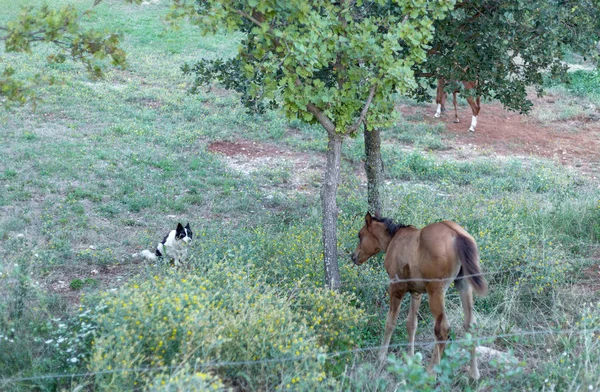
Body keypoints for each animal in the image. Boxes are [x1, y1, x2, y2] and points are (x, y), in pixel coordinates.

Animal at [352, 213, 488, 378]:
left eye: (360, 235)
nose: (354, 256)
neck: (393, 239)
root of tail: (458, 235)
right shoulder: (416, 292)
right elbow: (411, 324)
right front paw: (411, 358)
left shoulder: (396, 287)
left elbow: (391, 322)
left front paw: (381, 356)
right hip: (463, 284)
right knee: (470, 325)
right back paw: (474, 374)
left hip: (436, 291)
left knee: (442, 330)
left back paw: (431, 372)